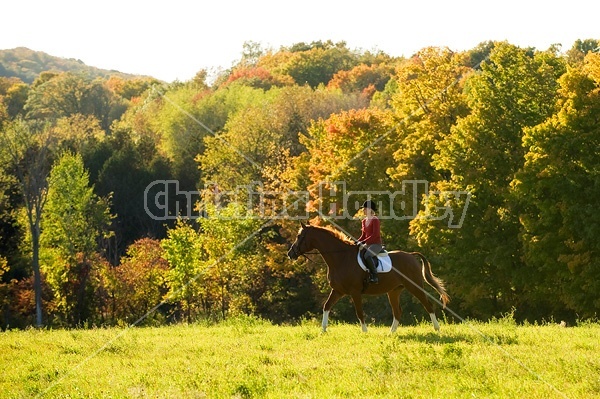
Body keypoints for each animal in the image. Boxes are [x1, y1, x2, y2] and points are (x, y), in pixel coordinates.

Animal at [288, 223, 450, 332]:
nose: (290, 253)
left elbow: (359, 312)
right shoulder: (338, 291)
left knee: (428, 305)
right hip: (394, 291)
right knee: (397, 312)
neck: (341, 258)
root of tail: (410, 255)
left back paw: (437, 329)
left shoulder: (355, 292)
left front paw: (365, 332)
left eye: (299, 236)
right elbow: (326, 307)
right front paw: (323, 331)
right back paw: (391, 334)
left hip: (414, 286)